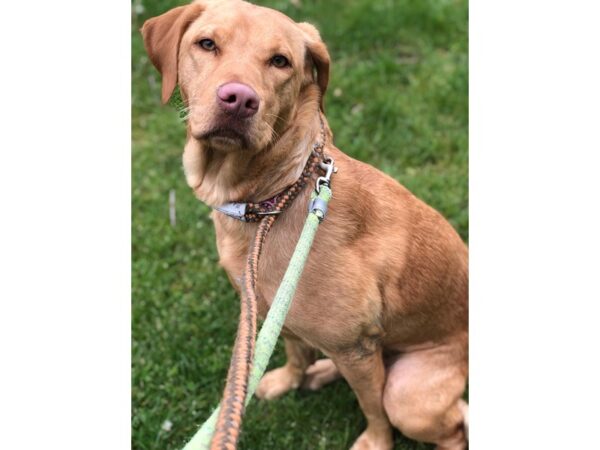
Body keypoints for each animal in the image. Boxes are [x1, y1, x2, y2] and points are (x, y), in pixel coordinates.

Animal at [142, 1, 468, 448]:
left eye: (281, 61)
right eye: (206, 44)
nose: (238, 99)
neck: (273, 200)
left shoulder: (354, 347)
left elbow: (373, 408)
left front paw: (375, 441)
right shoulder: (276, 312)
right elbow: (294, 352)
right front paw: (288, 380)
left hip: (411, 397)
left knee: (440, 423)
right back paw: (321, 371)